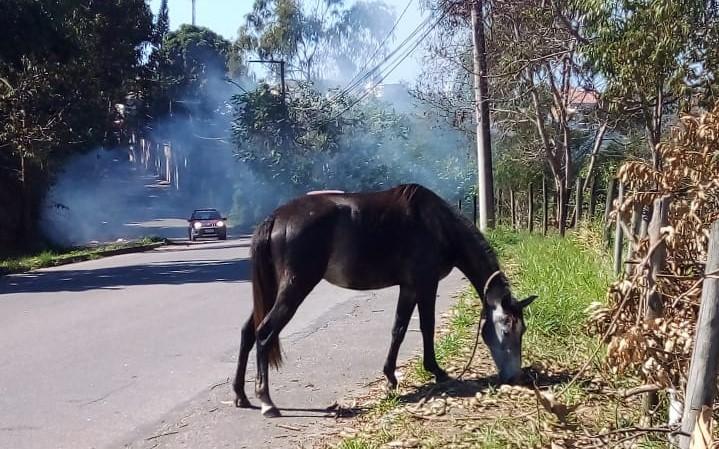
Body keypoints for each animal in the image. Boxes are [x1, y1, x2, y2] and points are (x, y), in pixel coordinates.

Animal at [231, 182, 536, 416]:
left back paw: (241, 395)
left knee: (248, 332)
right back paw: (266, 401)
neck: (437, 225)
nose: (514, 377)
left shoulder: (409, 288)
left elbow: (398, 329)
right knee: (264, 333)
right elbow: (426, 327)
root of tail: (277, 217)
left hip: (272, 290)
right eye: (506, 329)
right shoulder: (425, 285)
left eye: (523, 330)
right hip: (294, 288)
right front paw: (436, 371)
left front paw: (390, 377)